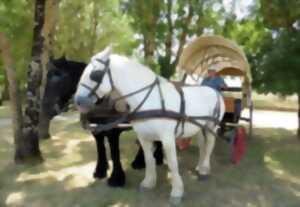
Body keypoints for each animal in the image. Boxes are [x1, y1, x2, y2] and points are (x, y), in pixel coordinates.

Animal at [41, 57, 163, 188]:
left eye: (57, 75)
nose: (45, 108)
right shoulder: (96, 130)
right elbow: (100, 148)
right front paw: (100, 171)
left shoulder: (113, 131)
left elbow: (114, 153)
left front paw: (116, 178)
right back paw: (149, 160)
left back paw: (146, 161)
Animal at [74, 46, 225, 204]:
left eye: (95, 74)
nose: (78, 101)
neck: (151, 100)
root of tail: (214, 91)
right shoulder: (143, 137)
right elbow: (148, 159)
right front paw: (148, 183)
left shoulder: (167, 139)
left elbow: (173, 163)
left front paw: (177, 191)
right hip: (199, 127)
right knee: (202, 145)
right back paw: (200, 166)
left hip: (211, 126)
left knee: (210, 145)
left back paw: (204, 169)